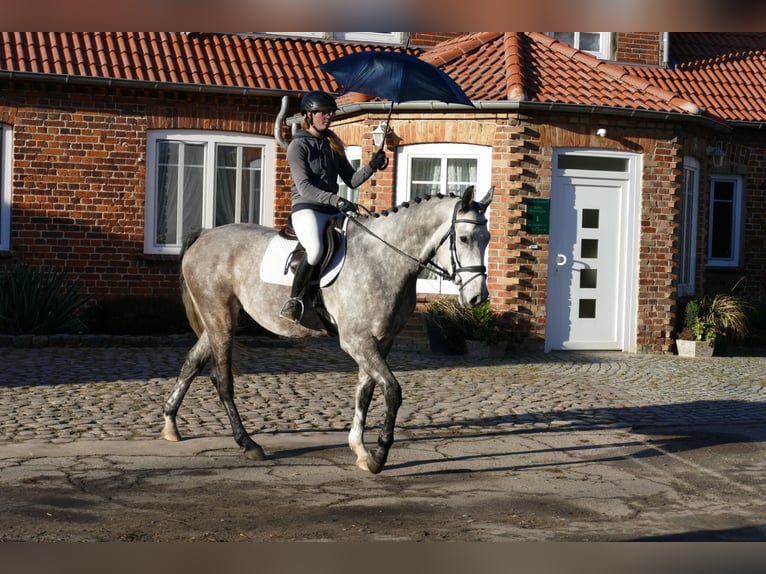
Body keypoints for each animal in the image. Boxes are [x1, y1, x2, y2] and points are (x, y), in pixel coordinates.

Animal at [160, 185, 494, 474]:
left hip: (219, 318)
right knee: (222, 380)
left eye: (488, 238)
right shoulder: (357, 341)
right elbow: (392, 391)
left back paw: (170, 424)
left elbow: (365, 392)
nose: (477, 298)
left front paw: (359, 449)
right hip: (220, 318)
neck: (384, 259)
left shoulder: (380, 341)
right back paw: (248, 443)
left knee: (192, 363)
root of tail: (205, 234)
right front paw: (378, 456)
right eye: (464, 238)